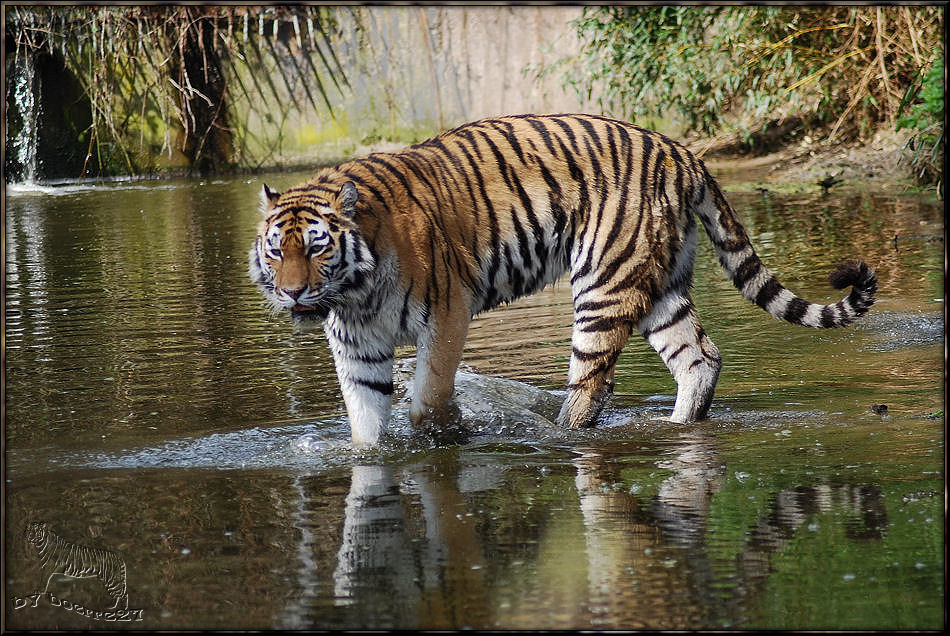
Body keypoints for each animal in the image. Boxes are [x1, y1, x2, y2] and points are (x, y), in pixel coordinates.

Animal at [251, 112, 876, 444]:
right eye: (276, 251)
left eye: (317, 248)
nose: (293, 292)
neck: (354, 293)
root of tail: (680, 151)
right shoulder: (358, 345)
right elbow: (364, 423)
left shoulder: (447, 313)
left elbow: (428, 395)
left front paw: (449, 432)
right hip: (659, 286)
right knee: (700, 356)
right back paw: (677, 425)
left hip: (604, 282)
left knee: (594, 381)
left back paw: (563, 433)